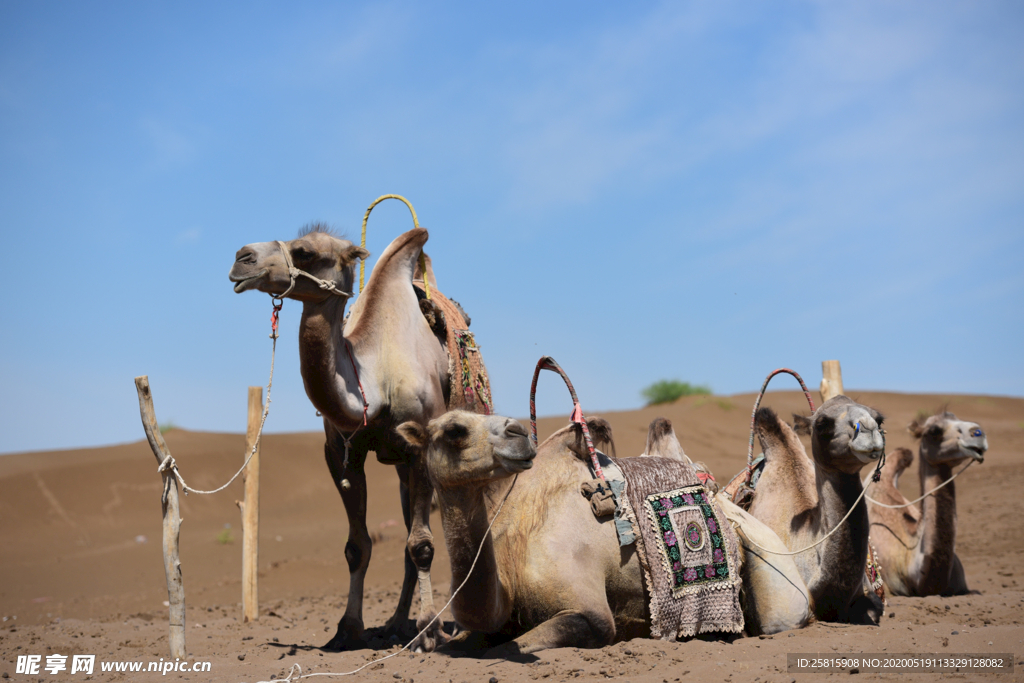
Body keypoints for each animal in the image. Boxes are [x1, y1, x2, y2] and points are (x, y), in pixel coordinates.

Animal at [230, 225, 477, 651]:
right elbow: (357, 546)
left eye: (305, 251)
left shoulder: (421, 450)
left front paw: (429, 630)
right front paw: (347, 630)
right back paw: (396, 623)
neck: (374, 380)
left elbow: (423, 544)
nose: (241, 258)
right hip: (400, 470)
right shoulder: (342, 453)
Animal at [395, 409, 811, 655]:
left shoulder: (590, 613)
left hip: (778, 585)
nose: (517, 431)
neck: (513, 556)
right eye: (454, 429)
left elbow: (514, 648)